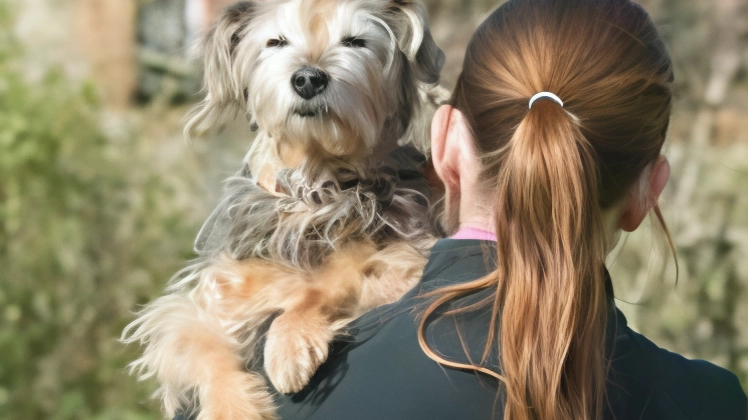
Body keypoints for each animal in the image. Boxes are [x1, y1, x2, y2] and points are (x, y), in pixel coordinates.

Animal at [122, 0, 444, 418]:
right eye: (276, 42)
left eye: (355, 41)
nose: (308, 79)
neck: (311, 188)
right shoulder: (206, 303)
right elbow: (197, 343)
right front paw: (233, 407)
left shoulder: (405, 258)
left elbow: (324, 283)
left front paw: (288, 345)